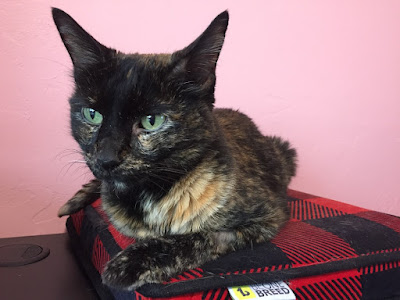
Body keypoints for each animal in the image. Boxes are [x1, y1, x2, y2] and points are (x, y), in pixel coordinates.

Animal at [52, 8, 296, 292]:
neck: (147, 199)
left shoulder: (266, 218)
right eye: (92, 114)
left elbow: (196, 237)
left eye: (151, 120)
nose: (106, 159)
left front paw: (130, 263)